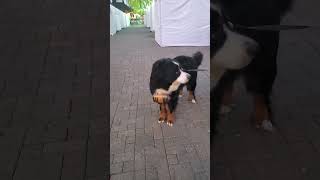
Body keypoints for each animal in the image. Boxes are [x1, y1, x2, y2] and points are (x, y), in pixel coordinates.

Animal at [211, 0, 294, 134]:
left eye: (228, 24)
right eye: (214, 33)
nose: (255, 49)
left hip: (265, 61)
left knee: (261, 93)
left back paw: (264, 119)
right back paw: (225, 104)